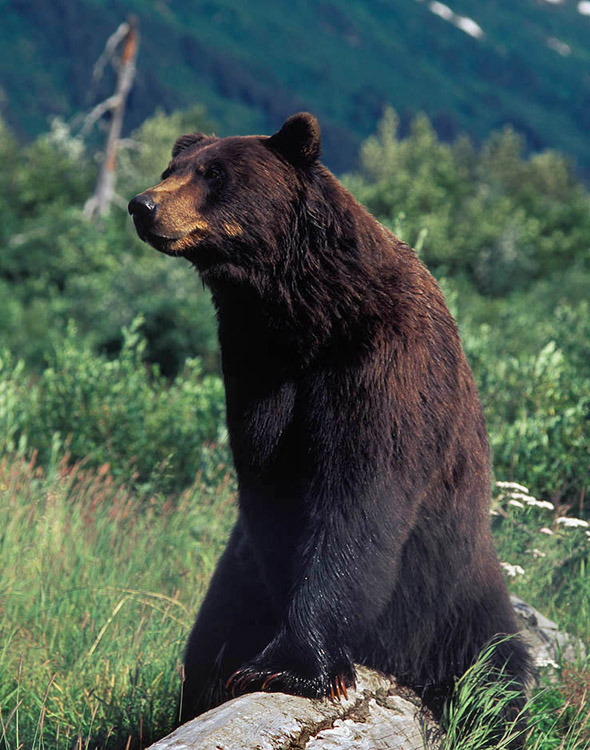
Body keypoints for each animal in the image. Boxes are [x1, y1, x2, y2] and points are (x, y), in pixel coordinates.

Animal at [128, 113, 532, 736]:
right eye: (173, 168)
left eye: (214, 174)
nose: (142, 204)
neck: (304, 315)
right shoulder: (258, 372)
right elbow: (270, 492)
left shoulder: (384, 364)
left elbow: (360, 494)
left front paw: (289, 665)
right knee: (208, 638)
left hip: (458, 600)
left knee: (493, 678)